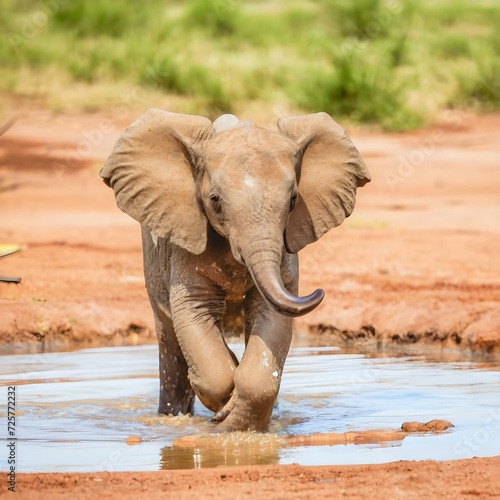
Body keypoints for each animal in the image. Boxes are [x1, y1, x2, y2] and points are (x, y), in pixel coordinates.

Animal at [99, 109, 370, 430]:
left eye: (293, 200)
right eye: (215, 200)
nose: (318, 292)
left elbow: (270, 325)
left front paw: (237, 422)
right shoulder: (186, 241)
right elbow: (196, 318)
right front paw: (224, 404)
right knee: (171, 343)